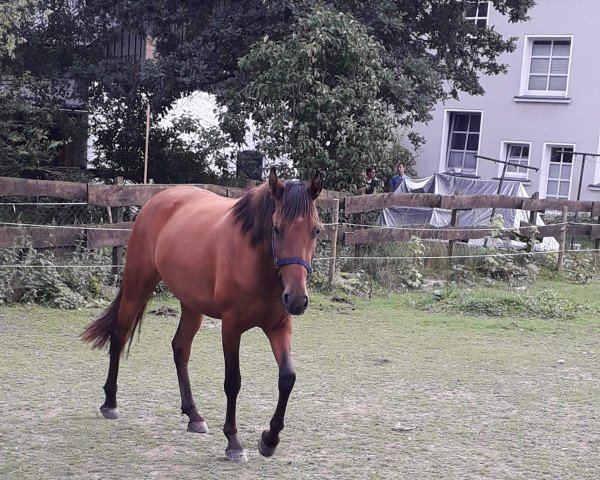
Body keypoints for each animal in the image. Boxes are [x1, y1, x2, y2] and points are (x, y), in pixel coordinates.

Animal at [83, 169, 324, 462]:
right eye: (277, 228)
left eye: (315, 230)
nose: (297, 299)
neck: (258, 264)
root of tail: (156, 200)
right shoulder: (231, 327)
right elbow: (233, 382)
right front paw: (234, 442)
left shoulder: (279, 327)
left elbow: (287, 378)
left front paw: (269, 439)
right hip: (137, 286)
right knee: (119, 335)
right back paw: (110, 403)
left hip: (191, 305)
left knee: (180, 348)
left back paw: (194, 415)